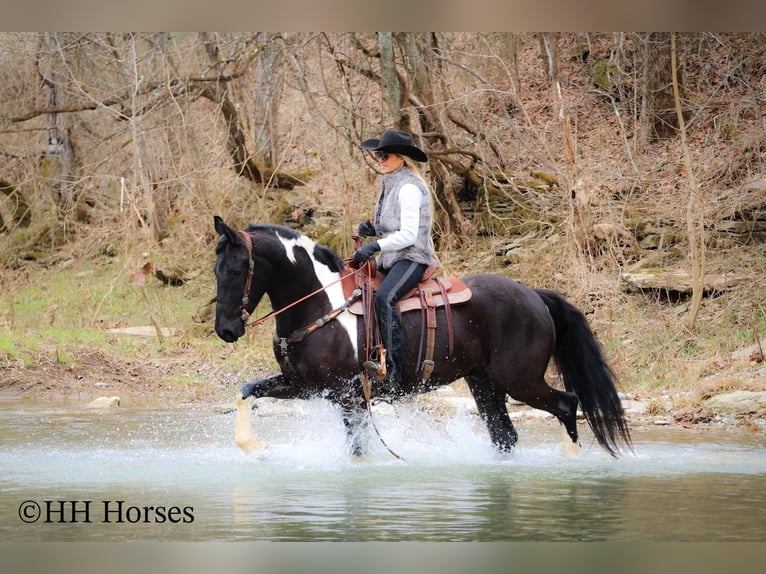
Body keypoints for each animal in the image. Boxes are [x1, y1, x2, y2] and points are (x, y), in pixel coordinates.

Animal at [213, 216, 632, 460]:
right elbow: (246, 391)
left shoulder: (349, 395)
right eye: (216, 270)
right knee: (506, 435)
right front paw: (253, 446)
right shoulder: (305, 386)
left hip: (521, 381)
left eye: (235, 270)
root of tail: (533, 295)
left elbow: (357, 449)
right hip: (485, 384)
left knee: (566, 404)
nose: (226, 330)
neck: (320, 304)